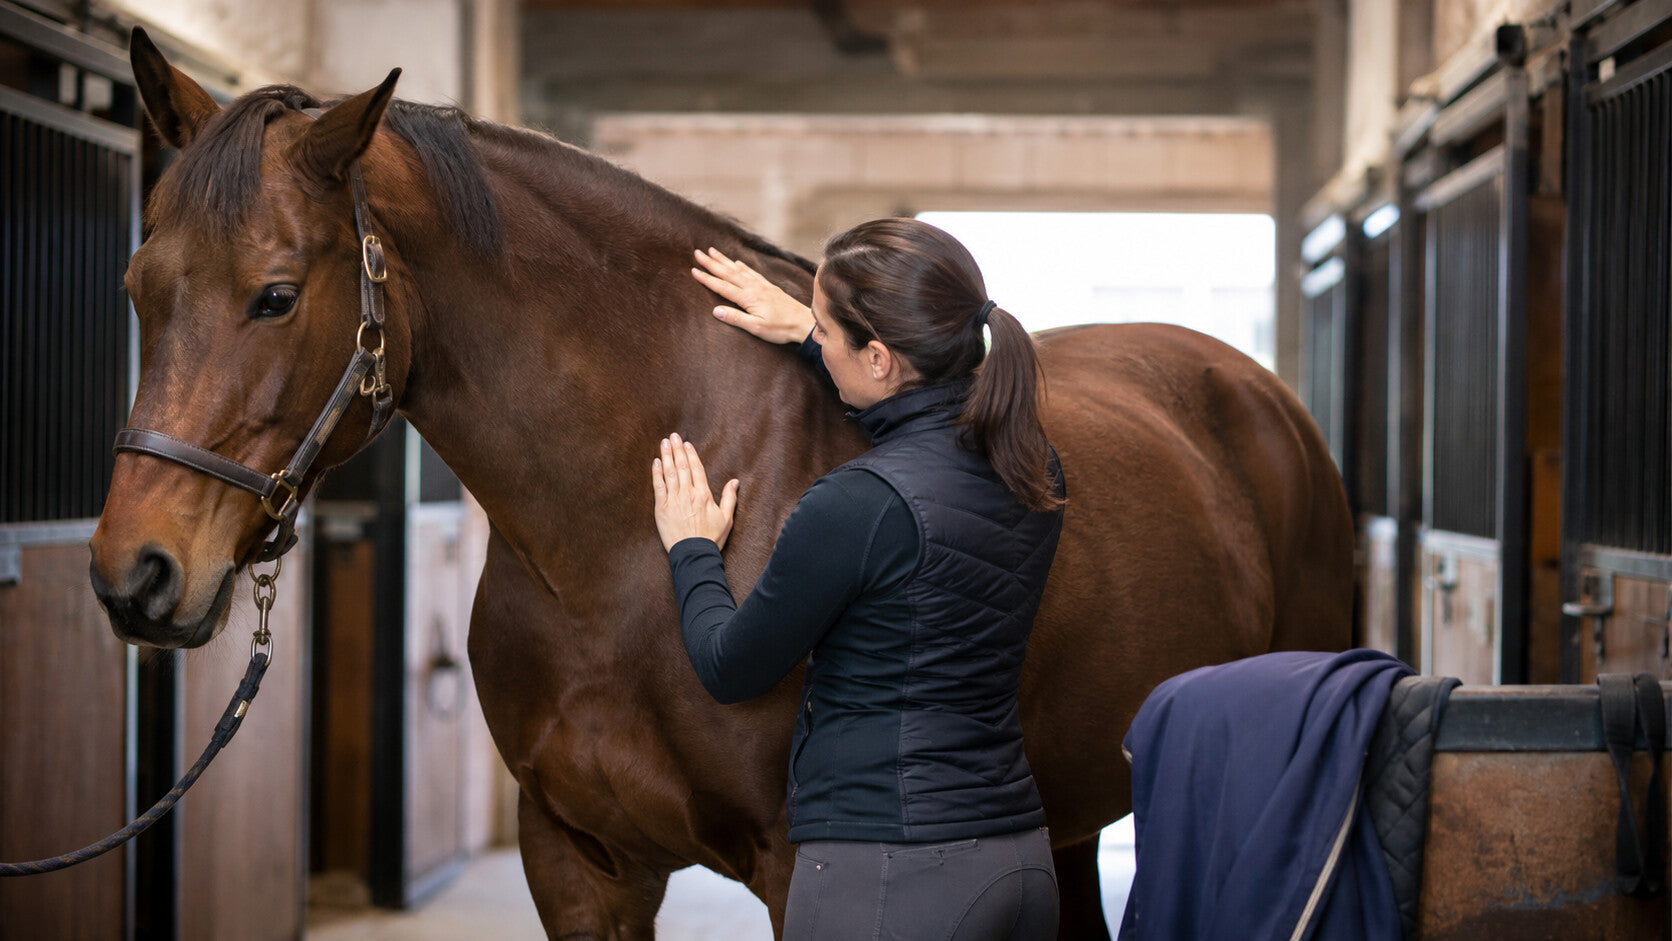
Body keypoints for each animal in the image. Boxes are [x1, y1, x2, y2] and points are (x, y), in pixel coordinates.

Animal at [89, 29, 1353, 938]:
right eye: (136, 284)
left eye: (275, 294)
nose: (133, 573)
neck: (614, 560)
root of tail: (1261, 396)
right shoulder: (579, 861)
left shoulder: (803, 866)